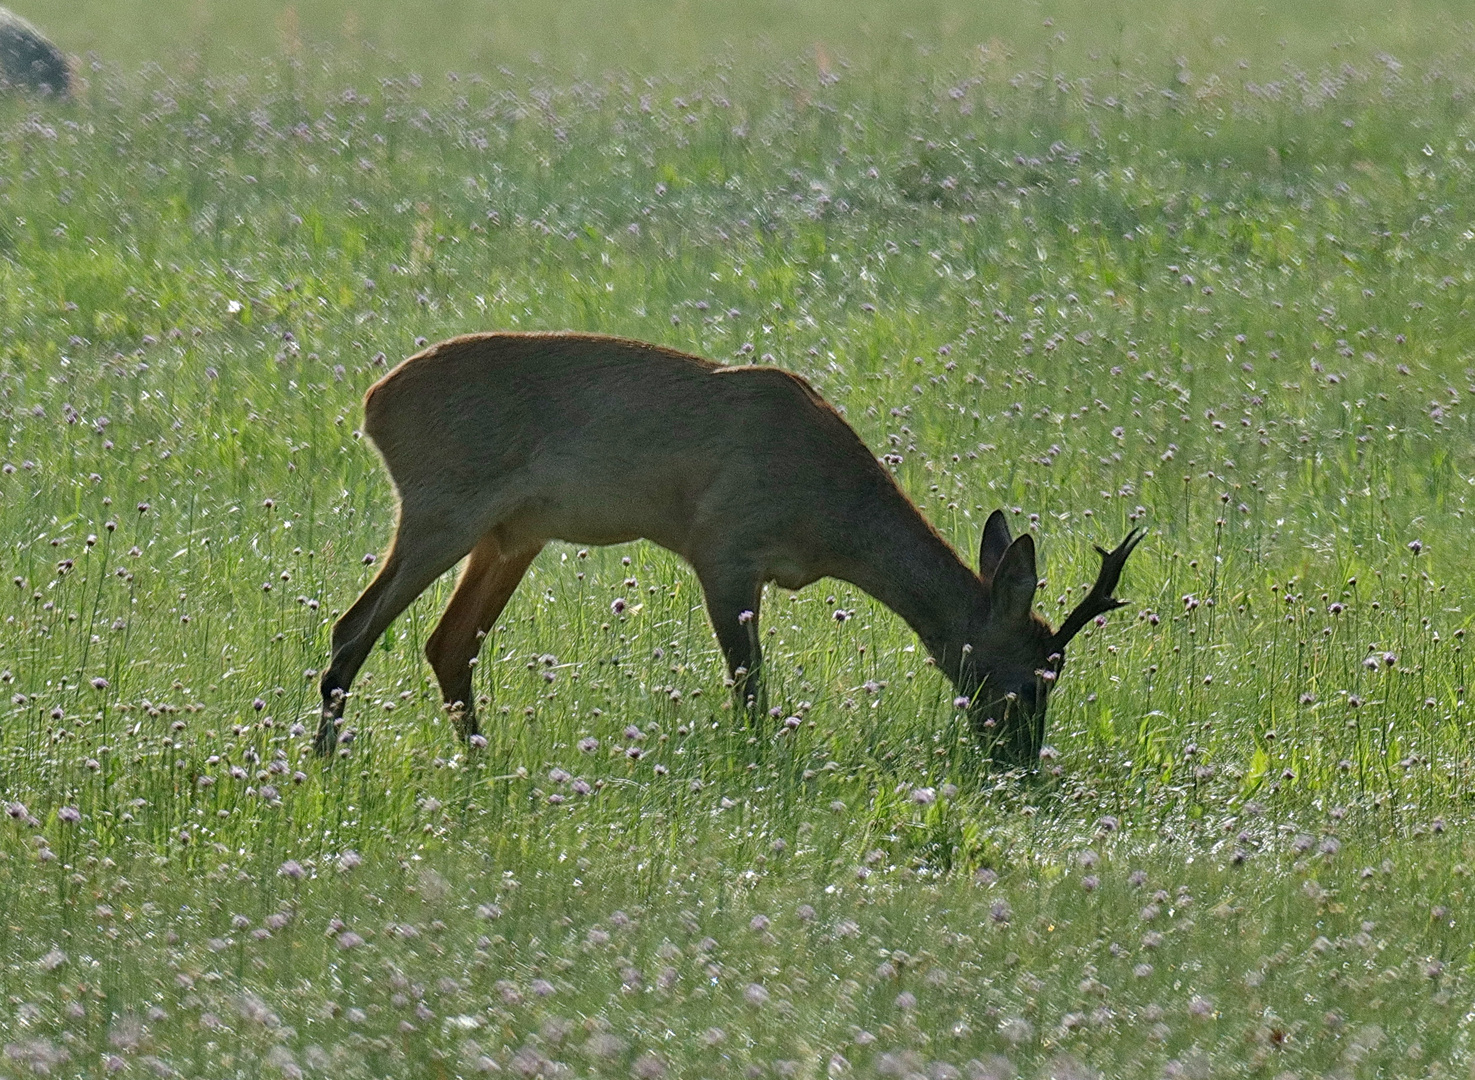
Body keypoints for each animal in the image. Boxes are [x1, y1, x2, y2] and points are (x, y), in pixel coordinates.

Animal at [317, 333, 1144, 761]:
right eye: (1035, 679)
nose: (1023, 763)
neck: (827, 510)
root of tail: (371, 404)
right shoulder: (723, 548)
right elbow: (750, 687)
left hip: (512, 534)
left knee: (447, 644)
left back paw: (485, 763)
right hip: (440, 507)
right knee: (352, 627)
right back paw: (328, 759)